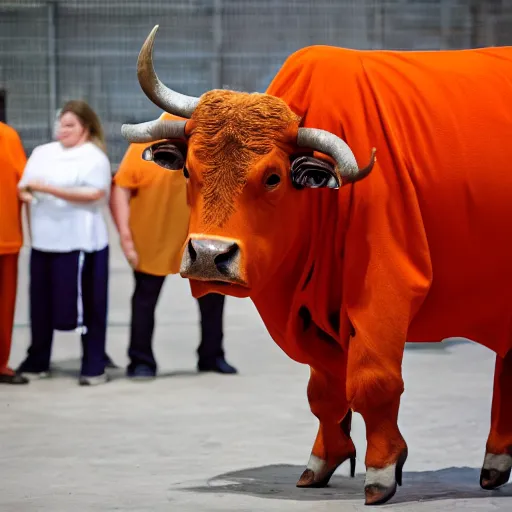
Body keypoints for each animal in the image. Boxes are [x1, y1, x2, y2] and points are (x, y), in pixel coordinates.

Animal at [122, 26, 512, 506]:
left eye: (273, 177)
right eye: (188, 172)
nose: (210, 255)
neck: (325, 205)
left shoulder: (384, 294)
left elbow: (372, 381)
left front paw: (382, 470)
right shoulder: (307, 316)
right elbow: (324, 390)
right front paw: (324, 462)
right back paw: (496, 463)